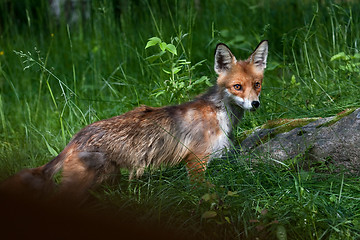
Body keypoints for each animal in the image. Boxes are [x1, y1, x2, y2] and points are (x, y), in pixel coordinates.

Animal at [2, 40, 268, 199]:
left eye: (257, 84)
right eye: (237, 87)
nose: (255, 104)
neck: (219, 114)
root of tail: (76, 136)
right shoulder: (195, 164)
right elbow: (218, 193)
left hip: (105, 181)